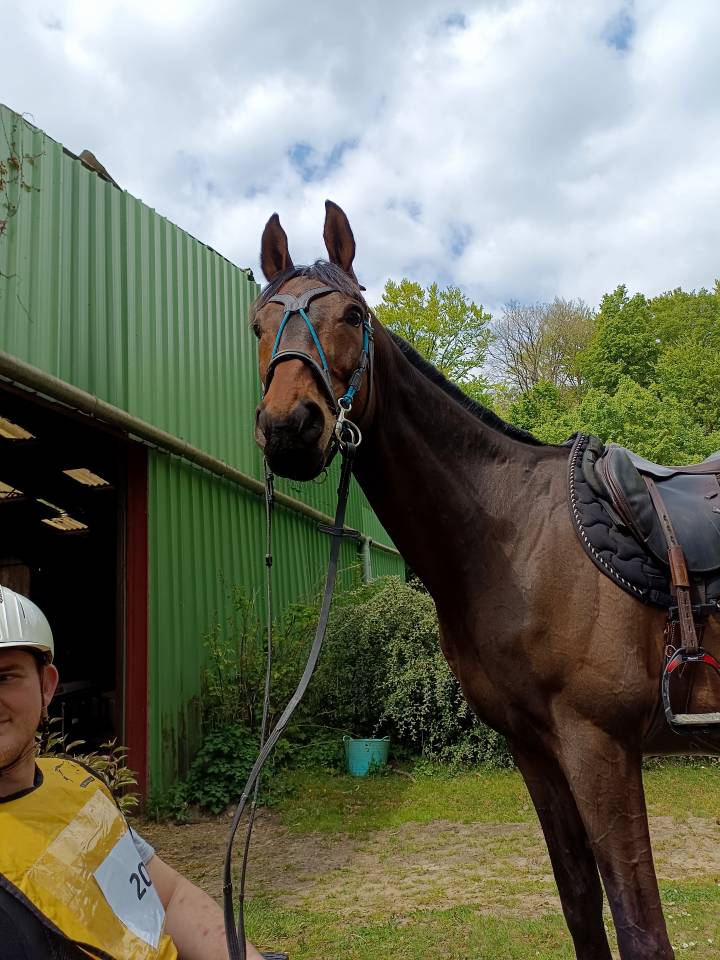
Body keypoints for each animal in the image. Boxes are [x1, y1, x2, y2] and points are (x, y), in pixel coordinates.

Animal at [250, 200, 719, 960]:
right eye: (258, 324)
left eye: (351, 314)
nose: (290, 428)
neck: (513, 536)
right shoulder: (536, 750)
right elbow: (581, 904)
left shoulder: (601, 747)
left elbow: (642, 930)